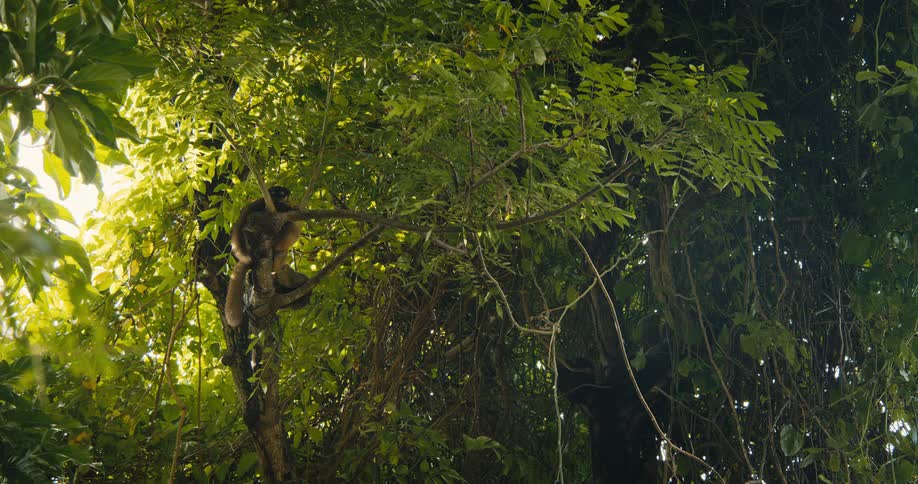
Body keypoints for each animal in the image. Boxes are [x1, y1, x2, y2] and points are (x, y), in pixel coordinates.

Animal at [225, 186, 302, 328]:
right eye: (273, 192)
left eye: (281, 193)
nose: (276, 196)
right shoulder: (263, 203)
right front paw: (290, 206)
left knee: (290, 227)